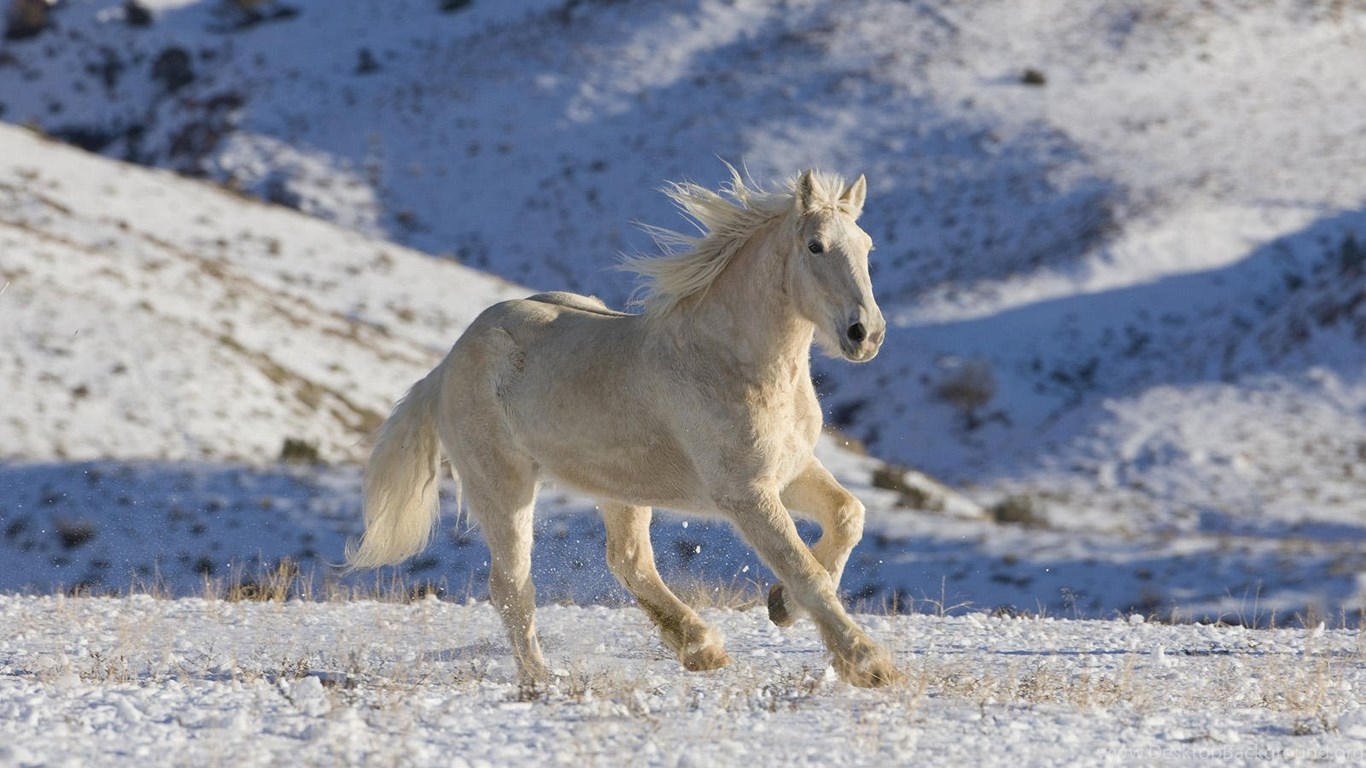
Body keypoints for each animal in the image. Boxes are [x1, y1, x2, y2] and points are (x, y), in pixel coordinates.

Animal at [345, 166, 901, 688]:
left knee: (628, 560)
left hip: (619, 487)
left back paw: (701, 649)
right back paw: (541, 680)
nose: (865, 334)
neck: (730, 361)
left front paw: (781, 606)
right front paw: (869, 664)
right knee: (511, 587)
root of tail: (445, 365)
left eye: (867, 245)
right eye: (815, 245)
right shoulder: (746, 493)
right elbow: (804, 569)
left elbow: (847, 517)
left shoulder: (790, 469)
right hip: (502, 486)